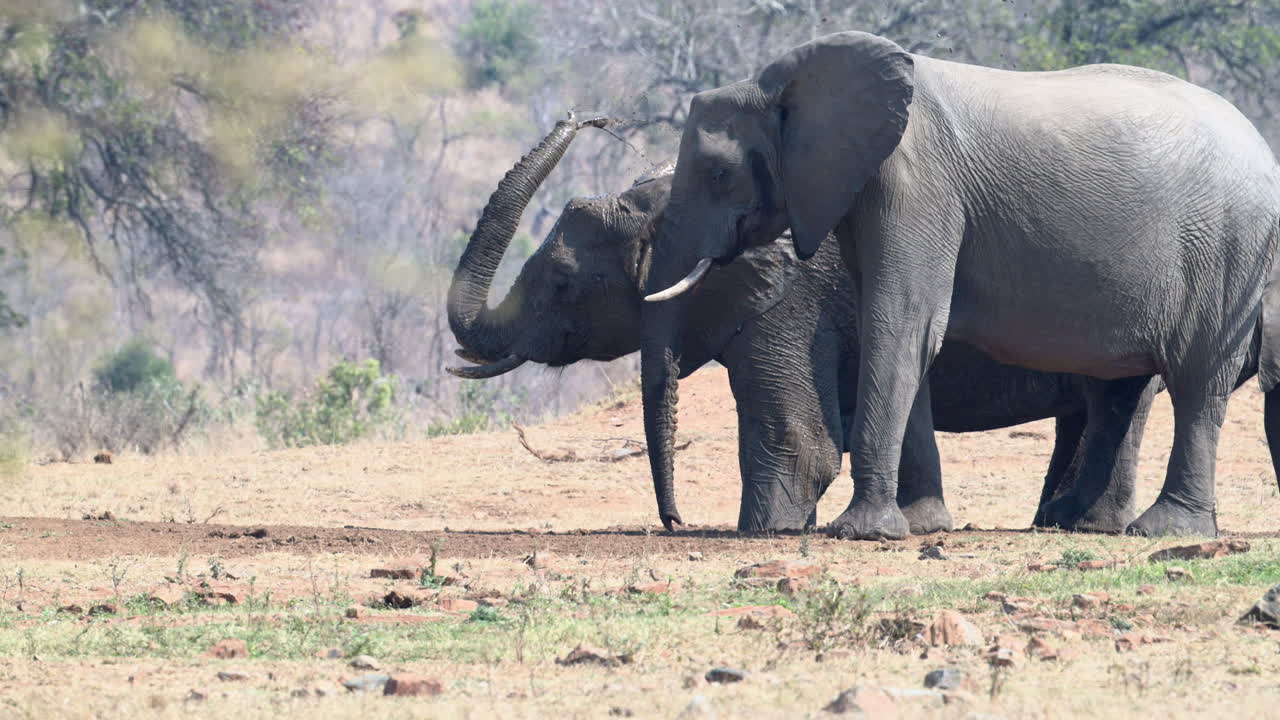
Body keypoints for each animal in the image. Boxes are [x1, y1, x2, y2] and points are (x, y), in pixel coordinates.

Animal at [642, 31, 1280, 538]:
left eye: (718, 174)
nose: (674, 524)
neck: (782, 84)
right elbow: (903, 330)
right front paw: (919, 525)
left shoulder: (916, 184)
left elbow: (901, 323)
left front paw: (865, 532)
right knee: (1118, 389)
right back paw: (1074, 523)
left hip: (1227, 253)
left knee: (1196, 381)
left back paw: (1162, 529)